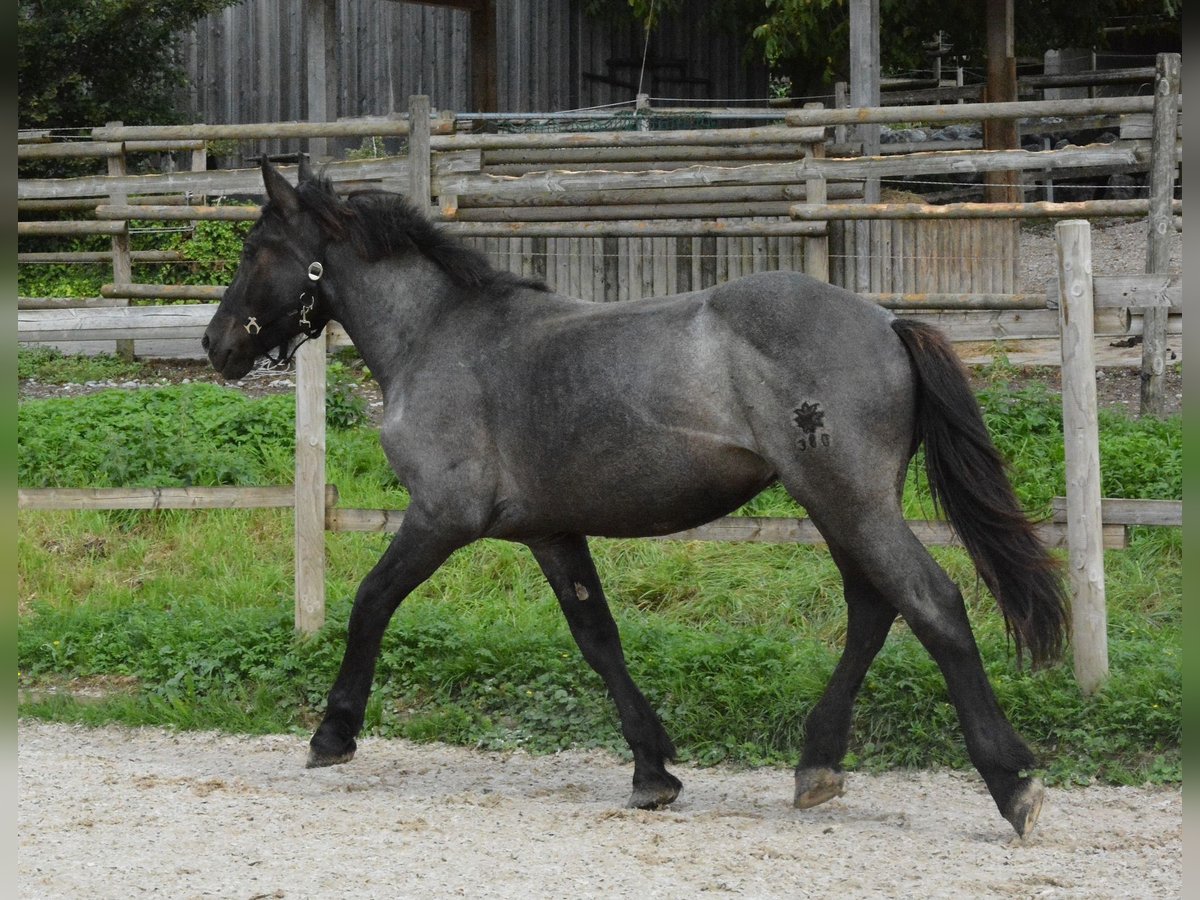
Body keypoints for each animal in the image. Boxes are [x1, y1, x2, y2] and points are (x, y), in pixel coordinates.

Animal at [204, 160, 1070, 840]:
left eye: (256, 250)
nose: (216, 346)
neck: (440, 336)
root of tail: (888, 321)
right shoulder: (552, 533)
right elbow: (599, 639)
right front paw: (653, 769)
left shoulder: (442, 517)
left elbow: (371, 600)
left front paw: (332, 733)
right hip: (840, 506)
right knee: (872, 608)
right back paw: (818, 765)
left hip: (849, 501)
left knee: (931, 603)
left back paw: (1013, 783)